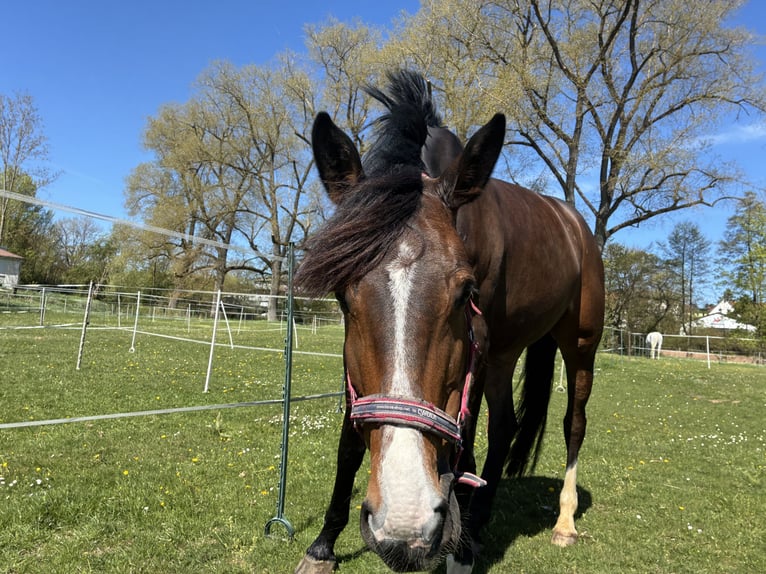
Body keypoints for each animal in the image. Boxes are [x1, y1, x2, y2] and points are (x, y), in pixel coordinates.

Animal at [294, 70, 604, 573]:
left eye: (465, 293)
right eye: (342, 295)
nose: (405, 522)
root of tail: (574, 222)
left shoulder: (475, 347)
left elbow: (464, 437)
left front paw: (456, 550)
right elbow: (349, 446)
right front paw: (323, 545)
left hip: (579, 348)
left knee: (572, 424)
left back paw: (561, 521)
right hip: (503, 355)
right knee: (505, 428)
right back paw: (478, 522)